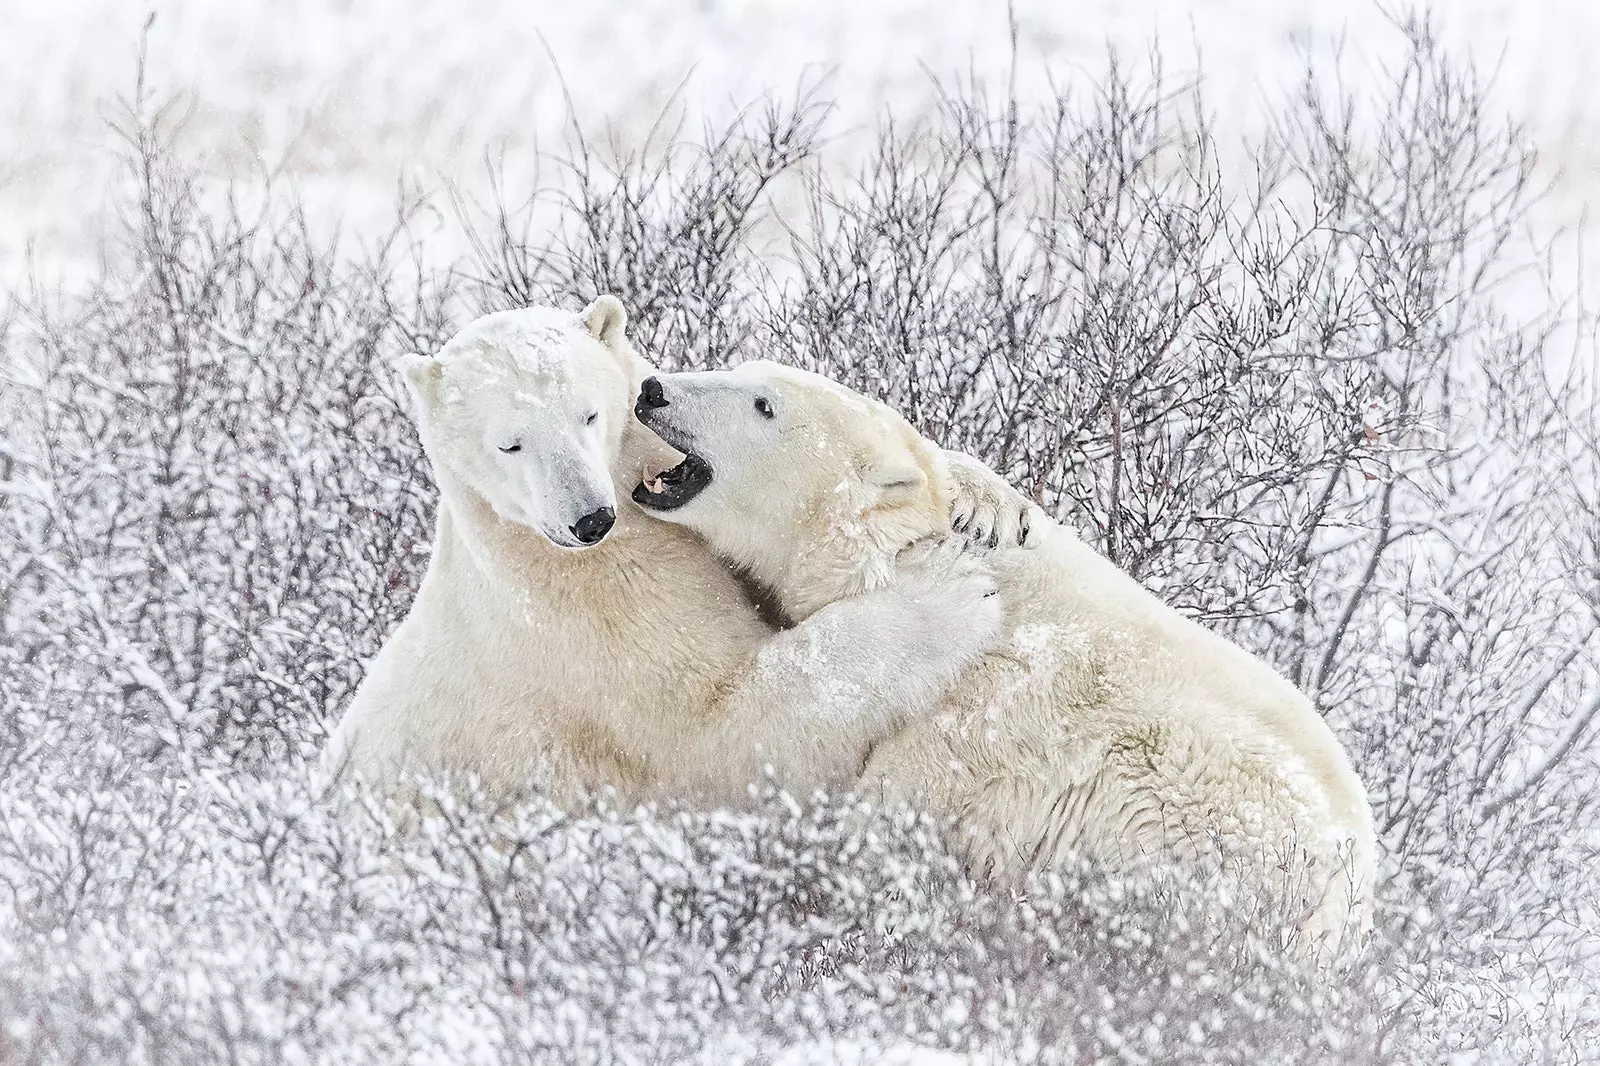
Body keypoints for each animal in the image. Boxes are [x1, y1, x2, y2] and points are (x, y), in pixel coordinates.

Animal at [630, 356, 1382, 953]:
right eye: (739, 365)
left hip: (1201, 861)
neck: (901, 550)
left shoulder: (978, 713)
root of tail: (1348, 907)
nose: (653, 389)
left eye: (764, 404)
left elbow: (888, 819)